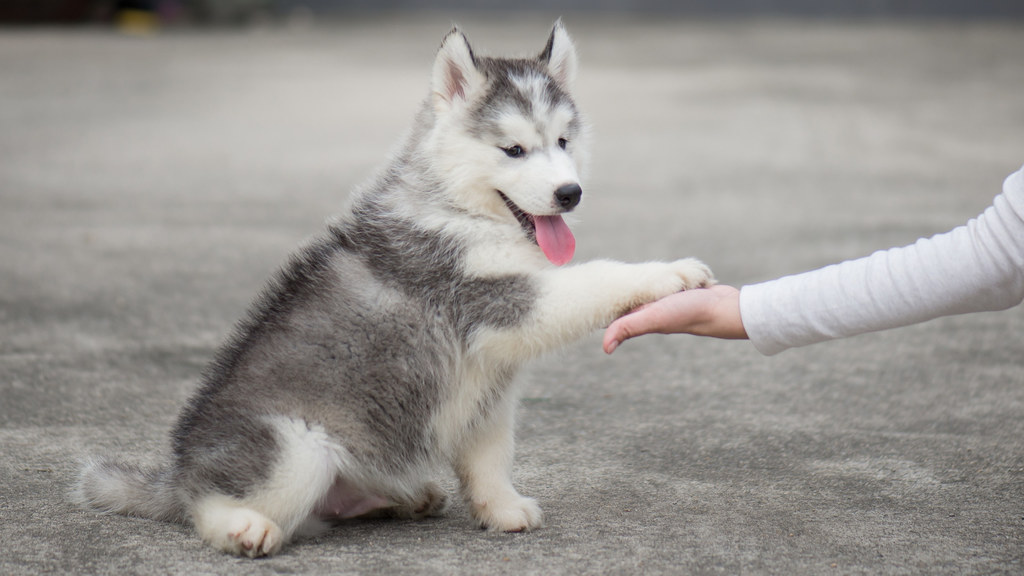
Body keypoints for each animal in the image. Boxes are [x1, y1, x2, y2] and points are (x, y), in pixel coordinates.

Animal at [74, 23, 712, 557]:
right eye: (513, 150)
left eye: (563, 142)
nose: (569, 194)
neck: (461, 210)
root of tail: (179, 472)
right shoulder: (496, 300)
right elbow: (596, 276)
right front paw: (669, 273)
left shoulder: (490, 386)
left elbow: (490, 454)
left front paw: (501, 508)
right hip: (296, 448)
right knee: (210, 505)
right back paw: (242, 527)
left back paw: (407, 497)